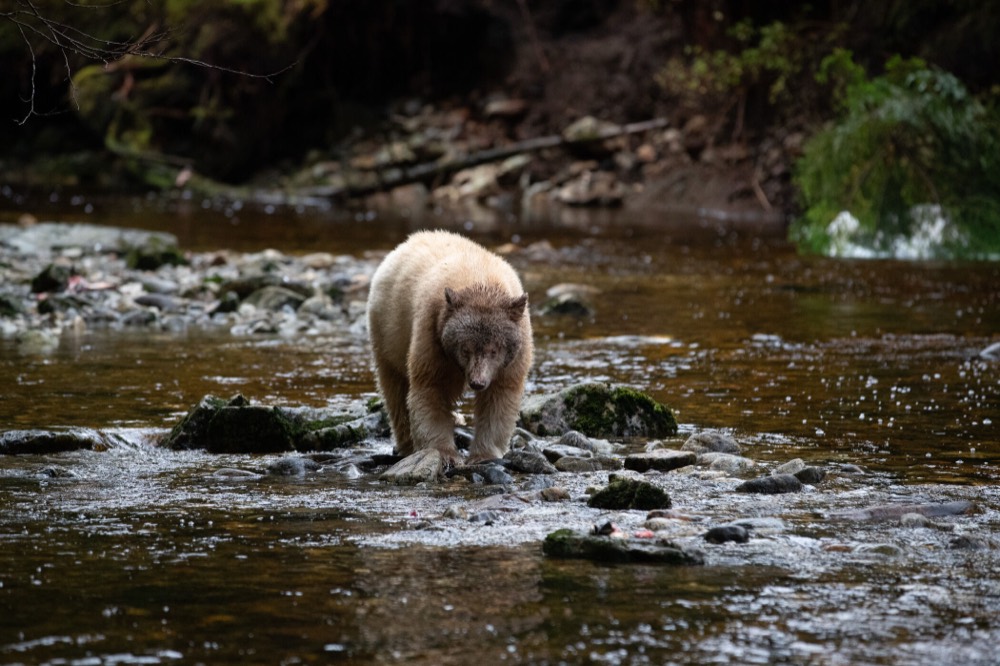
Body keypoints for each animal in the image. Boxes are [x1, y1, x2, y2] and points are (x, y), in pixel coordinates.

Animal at [366, 230, 533, 465]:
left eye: (494, 350)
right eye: (465, 349)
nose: (478, 382)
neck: (481, 281)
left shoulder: (516, 350)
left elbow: (500, 395)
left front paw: (483, 455)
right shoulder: (432, 330)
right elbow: (430, 387)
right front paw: (444, 453)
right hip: (388, 332)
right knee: (395, 389)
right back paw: (406, 444)